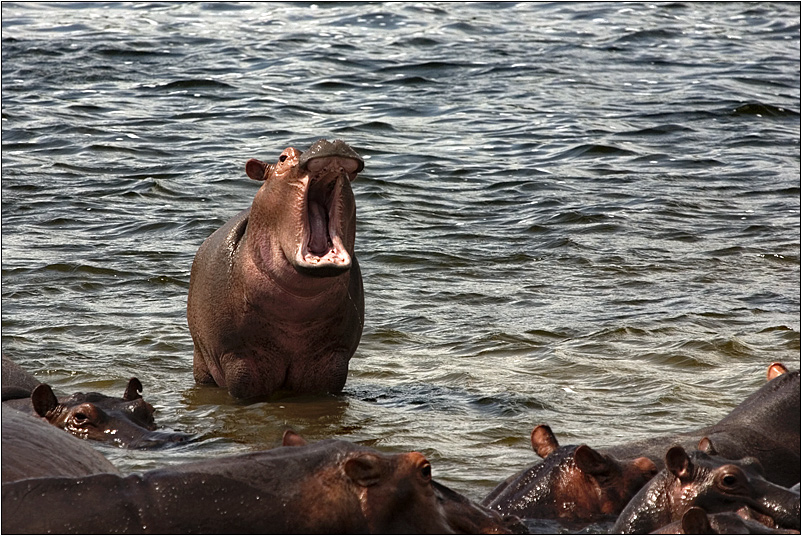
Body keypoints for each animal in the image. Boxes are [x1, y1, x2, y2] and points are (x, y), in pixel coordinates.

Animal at [186, 138, 364, 398]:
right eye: (283, 157)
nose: (331, 141)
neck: (298, 309)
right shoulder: (238, 357)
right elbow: (242, 386)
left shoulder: (332, 359)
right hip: (201, 361)